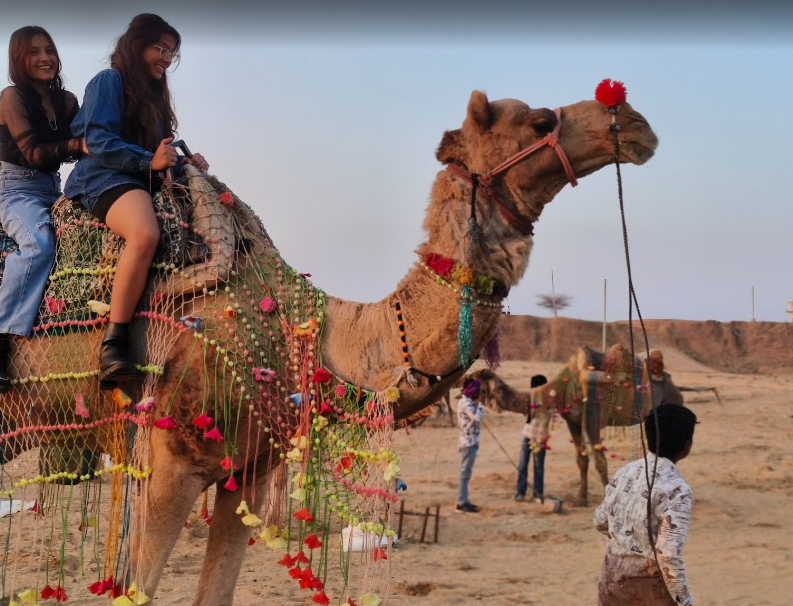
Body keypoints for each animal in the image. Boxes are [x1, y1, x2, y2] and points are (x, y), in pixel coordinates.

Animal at [0, 90, 657, 605]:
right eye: (540, 120)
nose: (631, 119)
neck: (298, 325)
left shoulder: (248, 471)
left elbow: (216, 590)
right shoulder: (169, 458)